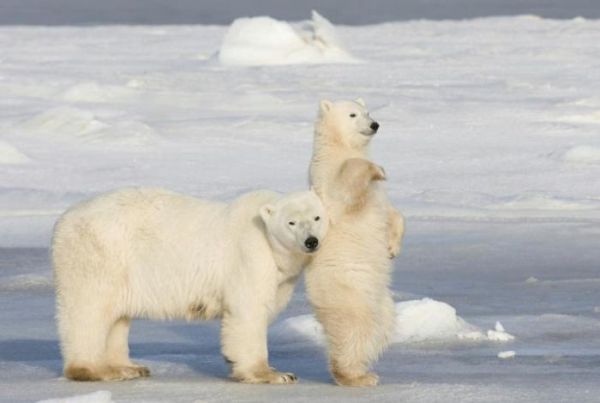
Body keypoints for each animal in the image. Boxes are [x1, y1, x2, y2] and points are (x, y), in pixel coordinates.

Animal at [52, 189, 328, 386]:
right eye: (291, 222)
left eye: (317, 217)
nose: (311, 241)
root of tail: (63, 220)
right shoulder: (249, 256)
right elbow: (248, 311)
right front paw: (274, 374)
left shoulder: (281, 276)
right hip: (97, 254)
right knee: (89, 310)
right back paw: (92, 369)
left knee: (116, 317)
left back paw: (128, 367)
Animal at [308, 98, 406, 388]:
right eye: (353, 115)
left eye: (368, 112)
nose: (374, 124)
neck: (339, 146)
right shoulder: (328, 178)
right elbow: (348, 183)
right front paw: (379, 170)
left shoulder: (380, 200)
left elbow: (392, 214)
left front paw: (392, 247)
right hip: (348, 290)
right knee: (353, 327)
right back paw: (352, 375)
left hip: (380, 301)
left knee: (380, 328)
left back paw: (365, 370)